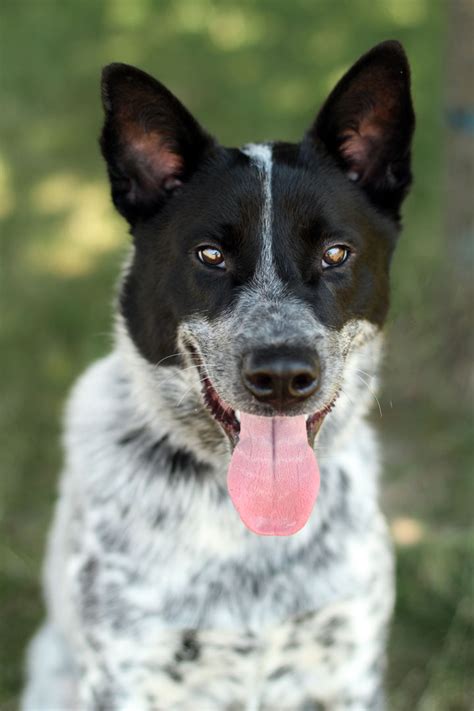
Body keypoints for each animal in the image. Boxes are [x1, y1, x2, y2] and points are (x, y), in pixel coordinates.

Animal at [22, 40, 414, 711]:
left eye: (336, 254)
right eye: (210, 255)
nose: (281, 375)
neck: (250, 530)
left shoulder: (348, 667)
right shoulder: (125, 672)